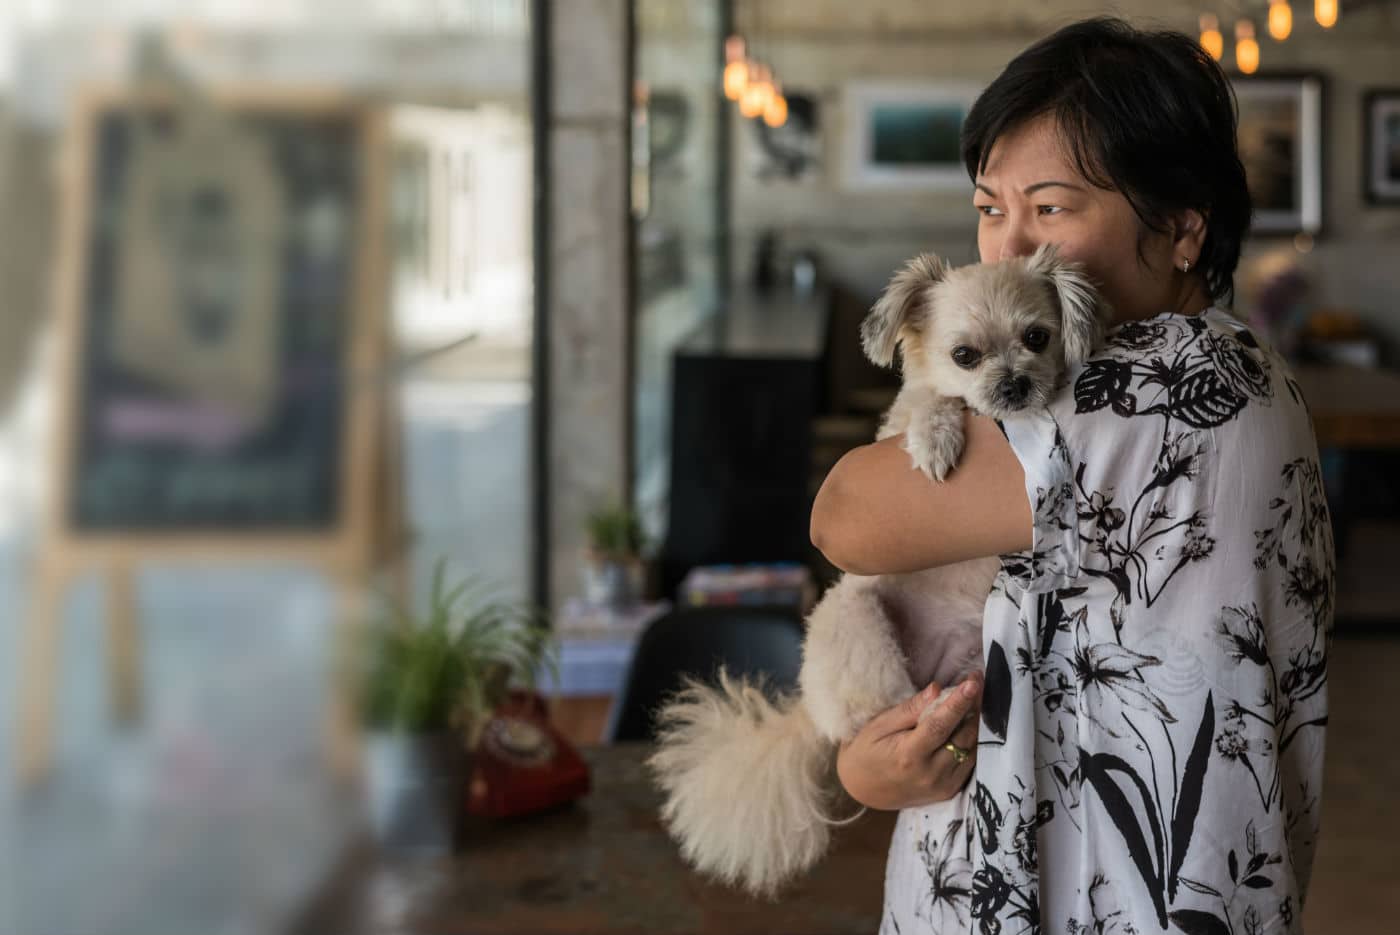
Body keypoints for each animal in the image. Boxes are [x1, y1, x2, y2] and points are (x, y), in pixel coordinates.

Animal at [646, 243, 1114, 895]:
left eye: (1037, 337)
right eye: (964, 356)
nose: (1015, 385)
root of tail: (808, 710)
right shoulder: (899, 427)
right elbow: (930, 401)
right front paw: (938, 437)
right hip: (857, 624)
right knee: (887, 709)